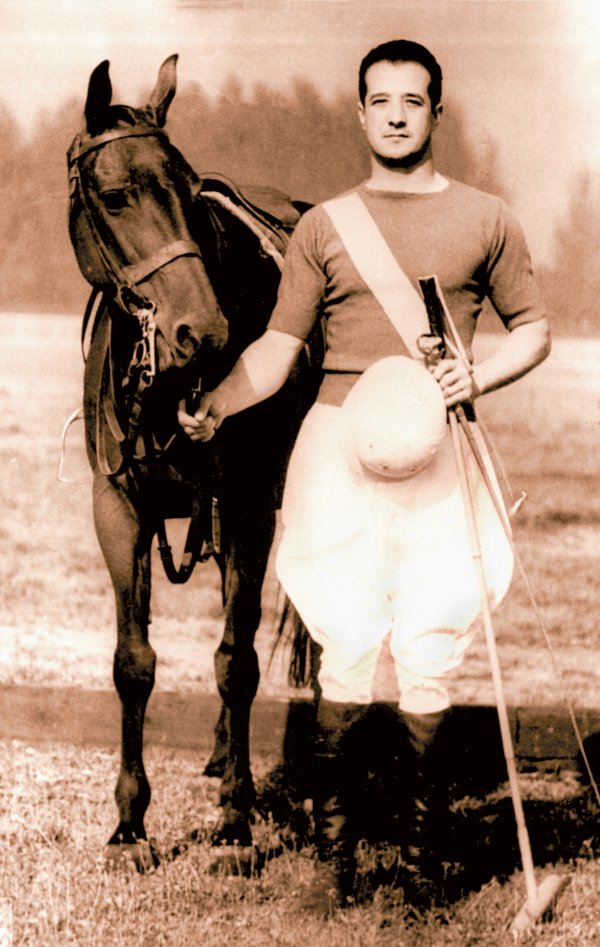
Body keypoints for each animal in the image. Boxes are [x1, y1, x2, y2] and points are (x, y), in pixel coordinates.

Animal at [67, 50, 322, 868]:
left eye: (187, 189)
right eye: (115, 196)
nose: (199, 332)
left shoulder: (247, 505)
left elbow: (237, 663)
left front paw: (237, 822)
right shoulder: (118, 510)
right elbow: (134, 663)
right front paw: (129, 826)